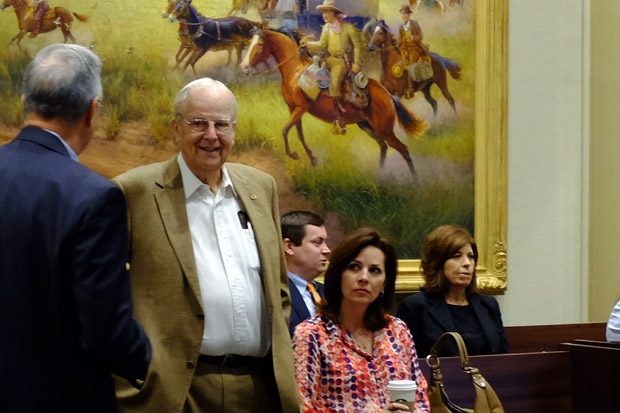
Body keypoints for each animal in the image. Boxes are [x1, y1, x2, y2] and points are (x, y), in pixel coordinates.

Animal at [240, 28, 428, 177]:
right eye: (249, 42)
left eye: (259, 44)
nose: (244, 67)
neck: (296, 72)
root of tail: (388, 95)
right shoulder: (292, 109)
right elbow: (298, 133)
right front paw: (312, 158)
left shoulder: (301, 108)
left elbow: (285, 130)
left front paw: (293, 155)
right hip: (367, 126)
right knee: (383, 147)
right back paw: (379, 175)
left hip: (385, 129)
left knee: (403, 149)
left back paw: (414, 182)